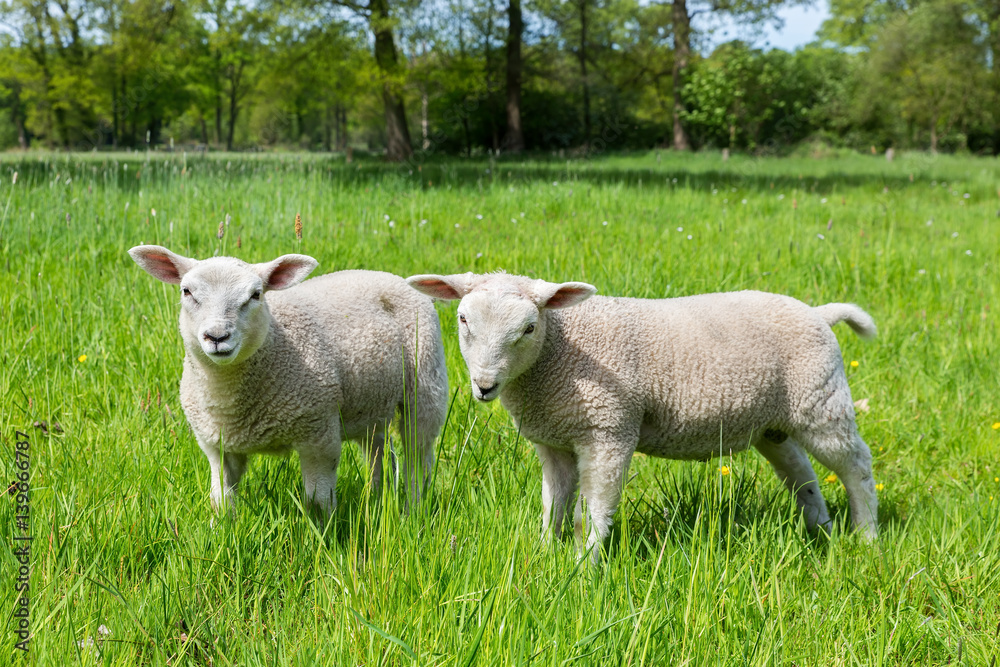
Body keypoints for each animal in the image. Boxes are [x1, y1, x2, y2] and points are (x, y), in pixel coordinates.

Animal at [129, 245, 449, 518]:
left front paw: (323, 537)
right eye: (187, 291)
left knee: (418, 456)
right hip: (369, 402)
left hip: (427, 386)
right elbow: (222, 500)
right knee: (379, 452)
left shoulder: (319, 436)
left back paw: (413, 510)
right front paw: (221, 530)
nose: (217, 337)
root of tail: (386, 275)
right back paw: (376, 497)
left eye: (256, 295)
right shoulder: (216, 446)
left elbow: (318, 502)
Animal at [407, 272, 878, 561]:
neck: (559, 350)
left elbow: (592, 510)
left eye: (528, 328)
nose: (484, 386)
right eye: (462, 319)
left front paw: (585, 566)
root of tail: (818, 313)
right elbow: (553, 506)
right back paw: (821, 528)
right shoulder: (554, 440)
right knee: (800, 471)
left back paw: (867, 536)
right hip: (775, 422)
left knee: (856, 466)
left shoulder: (609, 430)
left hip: (822, 401)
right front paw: (544, 553)